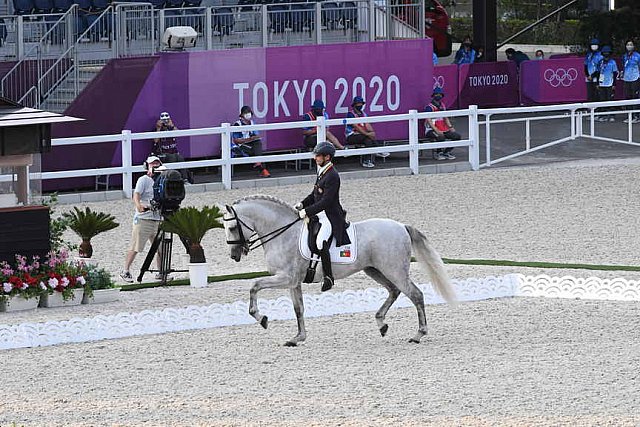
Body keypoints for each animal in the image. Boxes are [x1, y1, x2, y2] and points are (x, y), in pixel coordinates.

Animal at [224, 196, 456, 346]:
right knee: (394, 291)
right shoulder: (293, 282)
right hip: (375, 270)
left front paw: (261, 318)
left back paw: (418, 334)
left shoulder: (285, 278)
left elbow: (254, 286)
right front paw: (298, 338)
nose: (234, 255)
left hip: (394, 270)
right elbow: (298, 309)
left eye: (233, 228)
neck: (283, 233)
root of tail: (401, 226)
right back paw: (381, 323)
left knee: (415, 294)